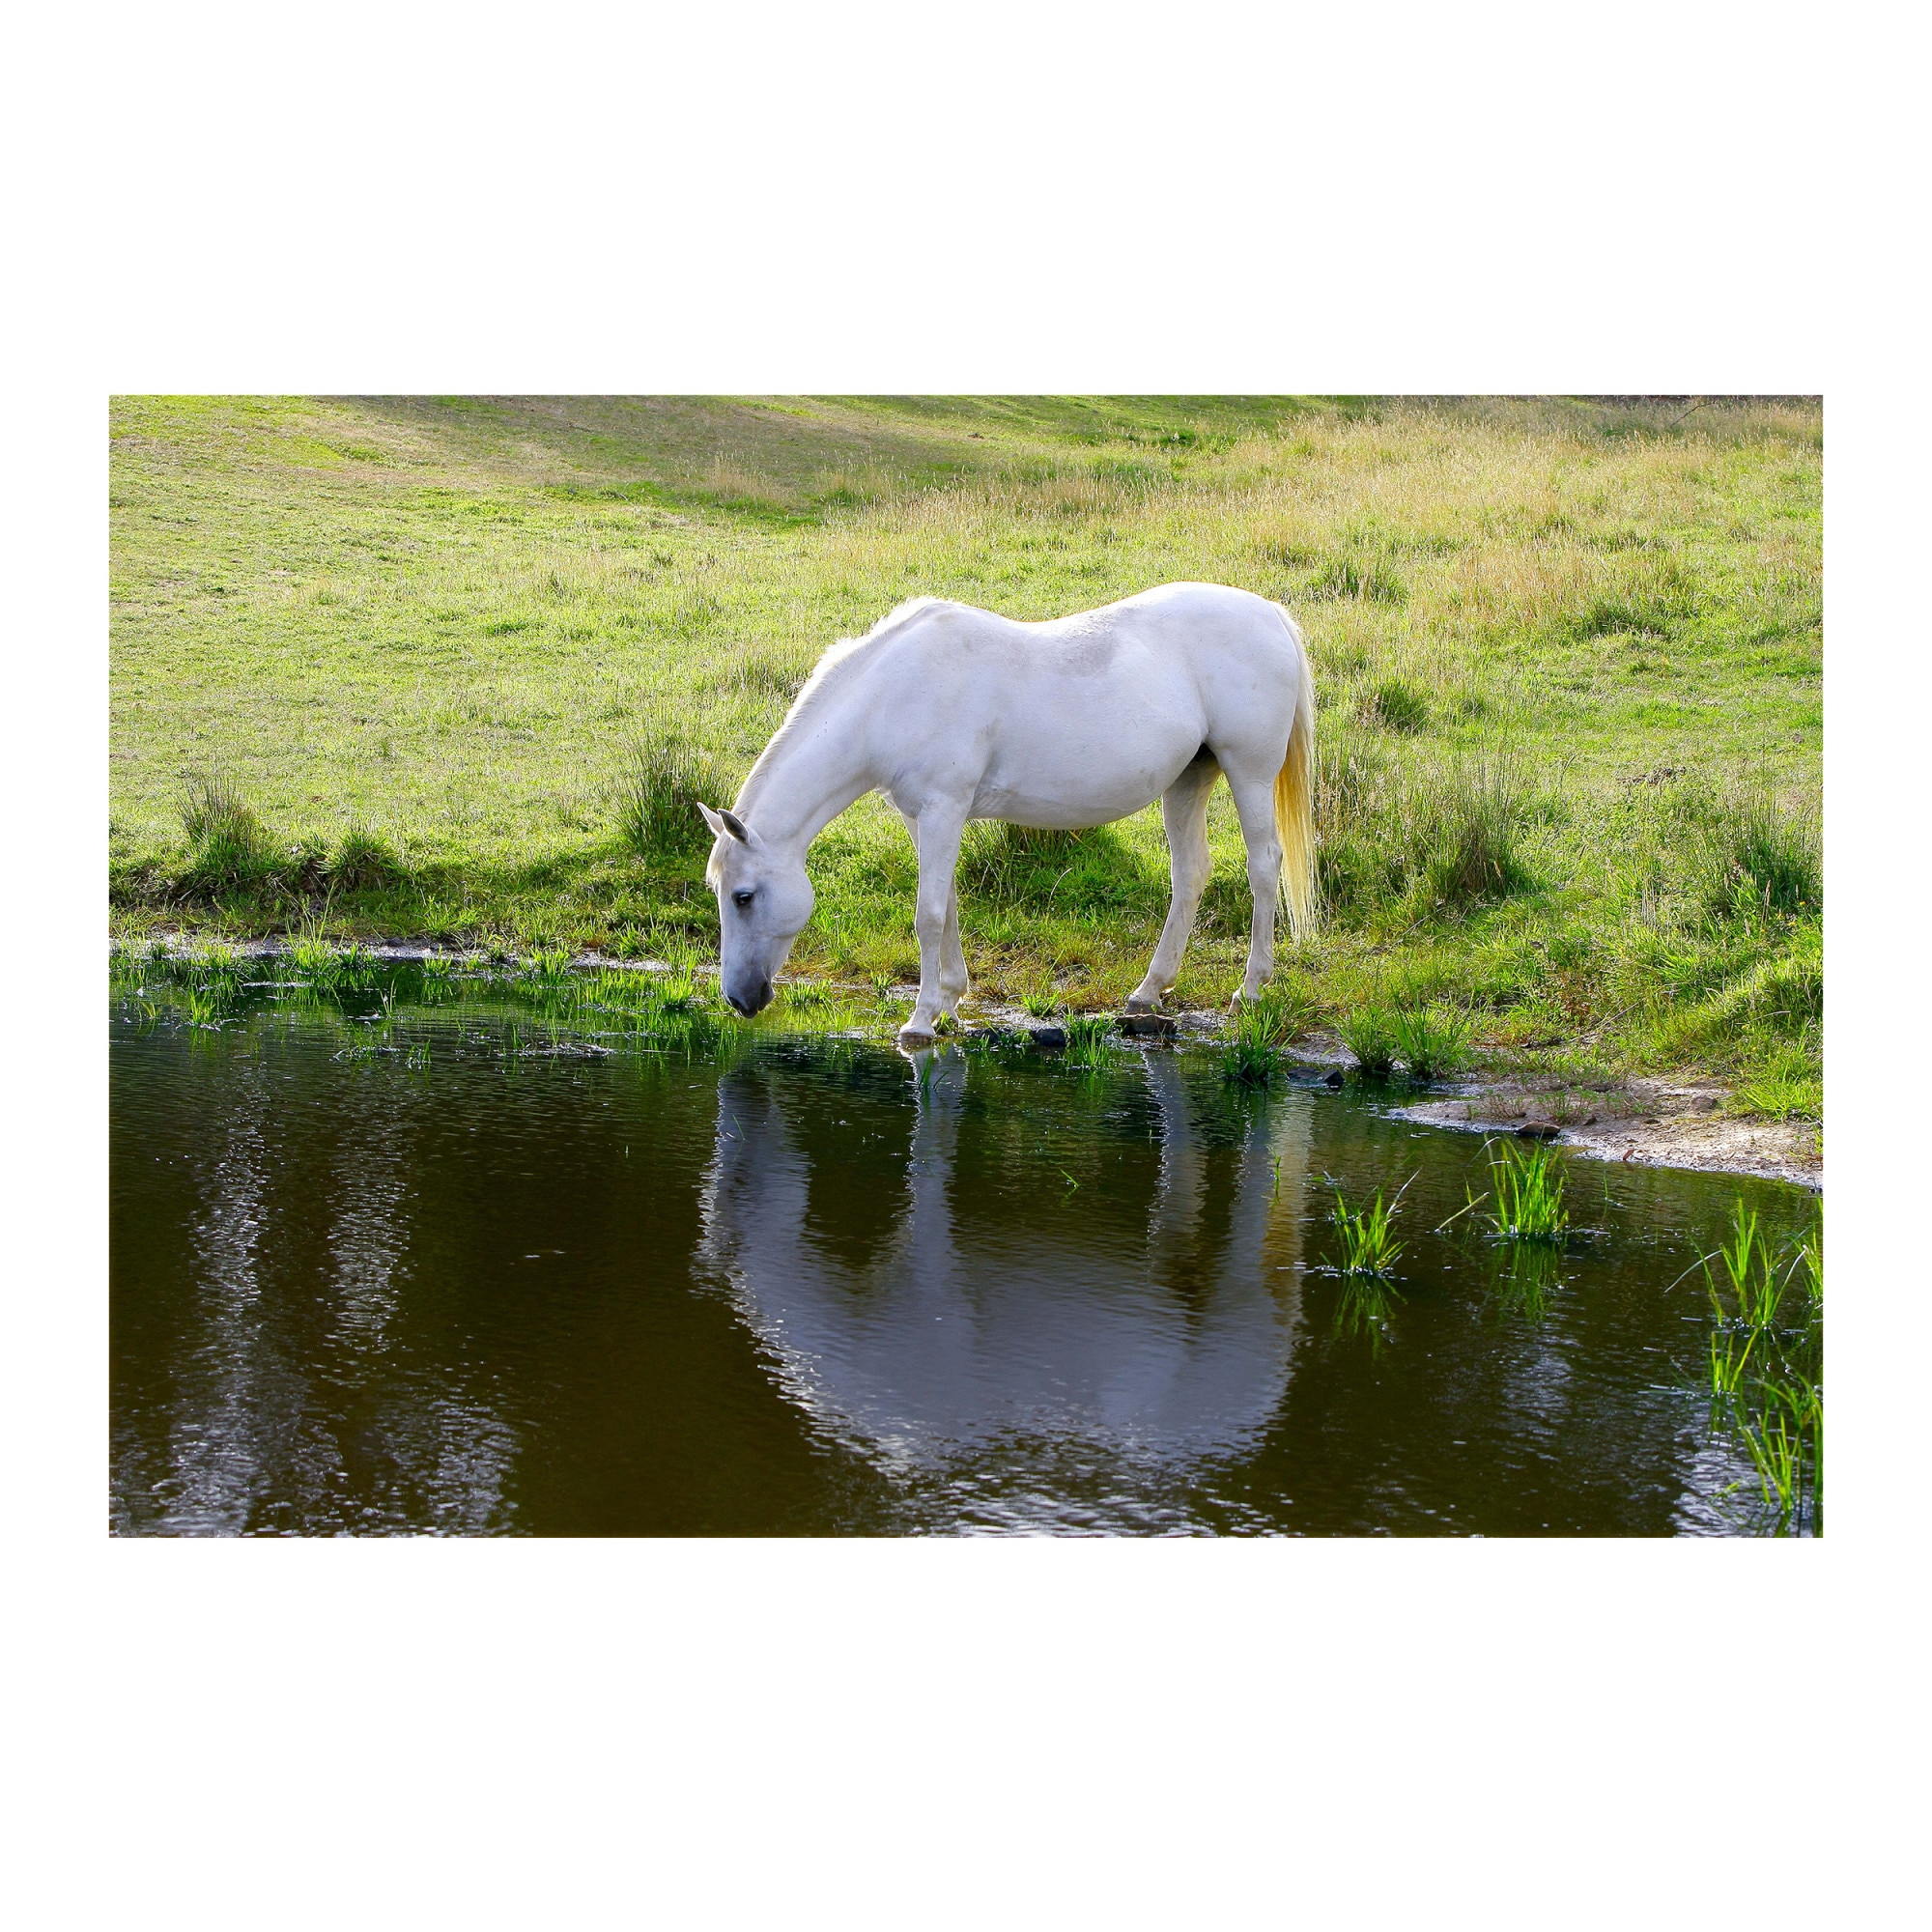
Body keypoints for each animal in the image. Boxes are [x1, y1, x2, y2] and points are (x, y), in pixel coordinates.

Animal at [698, 580, 1317, 1046]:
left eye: (743, 896)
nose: (739, 998)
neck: (896, 693)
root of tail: (1269, 613)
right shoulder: (923, 816)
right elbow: (946, 905)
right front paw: (949, 999)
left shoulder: (943, 808)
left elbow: (928, 914)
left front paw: (920, 1020)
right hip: (1189, 780)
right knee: (1190, 874)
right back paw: (1148, 992)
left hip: (1249, 773)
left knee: (1264, 867)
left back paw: (1250, 989)